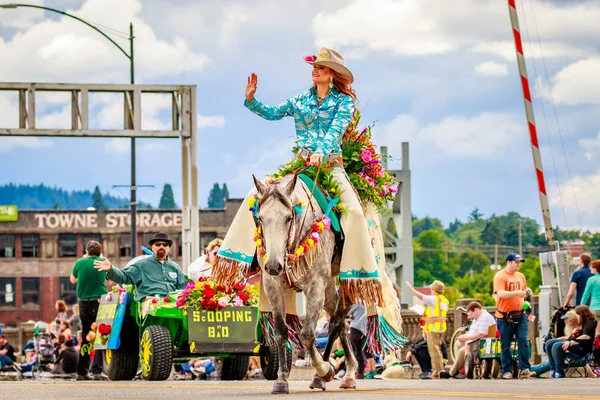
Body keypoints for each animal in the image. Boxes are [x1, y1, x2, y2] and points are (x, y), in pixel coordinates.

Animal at [252, 174, 358, 394]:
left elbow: (308, 335)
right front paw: (281, 379)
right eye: (261, 218)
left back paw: (329, 376)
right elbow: (281, 331)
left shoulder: (315, 286)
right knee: (340, 321)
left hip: (347, 280)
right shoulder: (273, 286)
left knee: (337, 321)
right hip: (329, 287)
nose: (273, 265)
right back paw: (348, 372)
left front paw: (325, 370)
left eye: (288, 218)